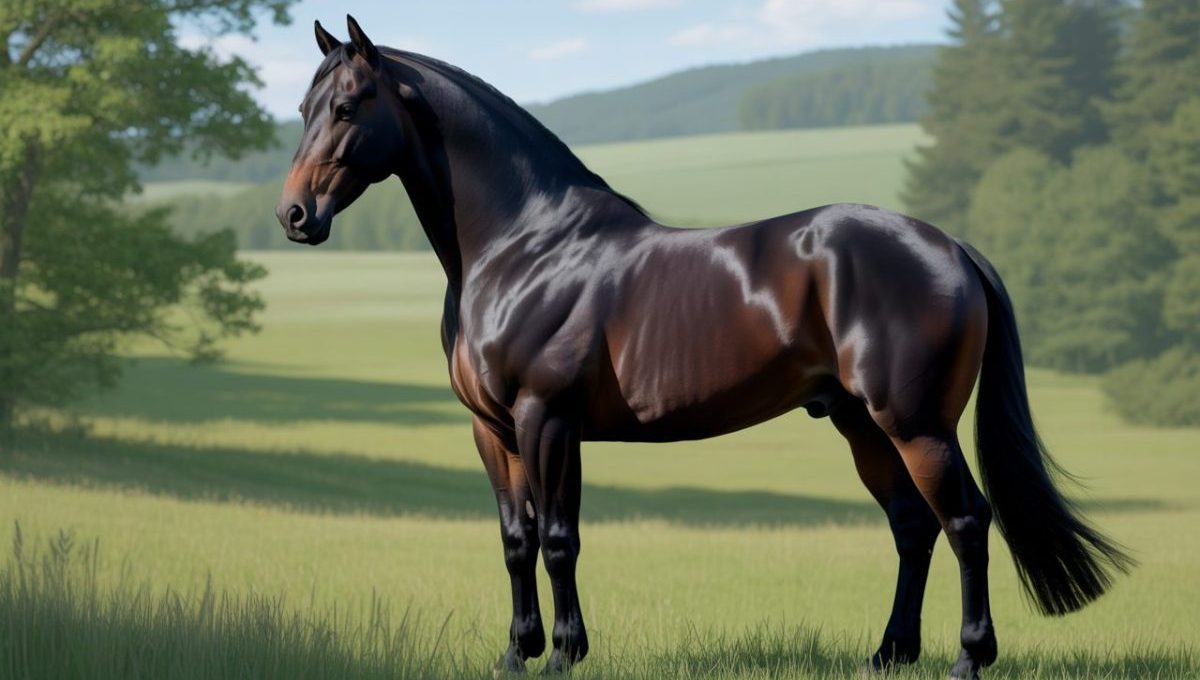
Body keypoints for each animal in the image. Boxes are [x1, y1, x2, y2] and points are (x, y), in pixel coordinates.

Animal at [276, 17, 1132, 679]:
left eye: (348, 106)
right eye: (304, 106)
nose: (294, 216)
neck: (524, 246)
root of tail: (951, 246)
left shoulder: (546, 419)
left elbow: (558, 540)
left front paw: (564, 655)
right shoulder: (492, 430)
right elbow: (516, 542)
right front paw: (516, 654)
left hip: (916, 423)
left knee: (964, 521)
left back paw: (966, 657)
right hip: (859, 423)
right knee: (911, 526)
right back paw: (888, 654)